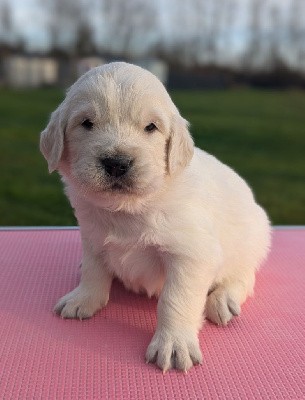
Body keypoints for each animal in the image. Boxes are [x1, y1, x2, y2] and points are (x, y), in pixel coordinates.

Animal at [39, 61, 270, 372]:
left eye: (151, 127)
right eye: (86, 123)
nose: (117, 163)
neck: (127, 209)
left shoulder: (191, 255)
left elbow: (175, 298)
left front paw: (174, 344)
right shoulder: (91, 235)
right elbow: (94, 268)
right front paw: (83, 298)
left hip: (252, 240)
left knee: (245, 276)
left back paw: (223, 300)